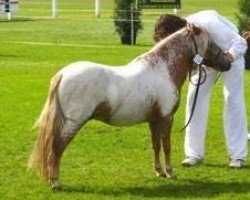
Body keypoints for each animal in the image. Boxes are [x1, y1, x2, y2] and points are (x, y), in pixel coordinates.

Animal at [28, 24, 231, 190]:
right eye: (211, 42)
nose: (227, 62)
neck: (163, 69)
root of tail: (62, 74)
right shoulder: (167, 119)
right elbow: (166, 146)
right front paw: (170, 172)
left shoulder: (154, 121)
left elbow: (156, 146)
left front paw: (159, 171)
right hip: (72, 123)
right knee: (56, 148)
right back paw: (55, 182)